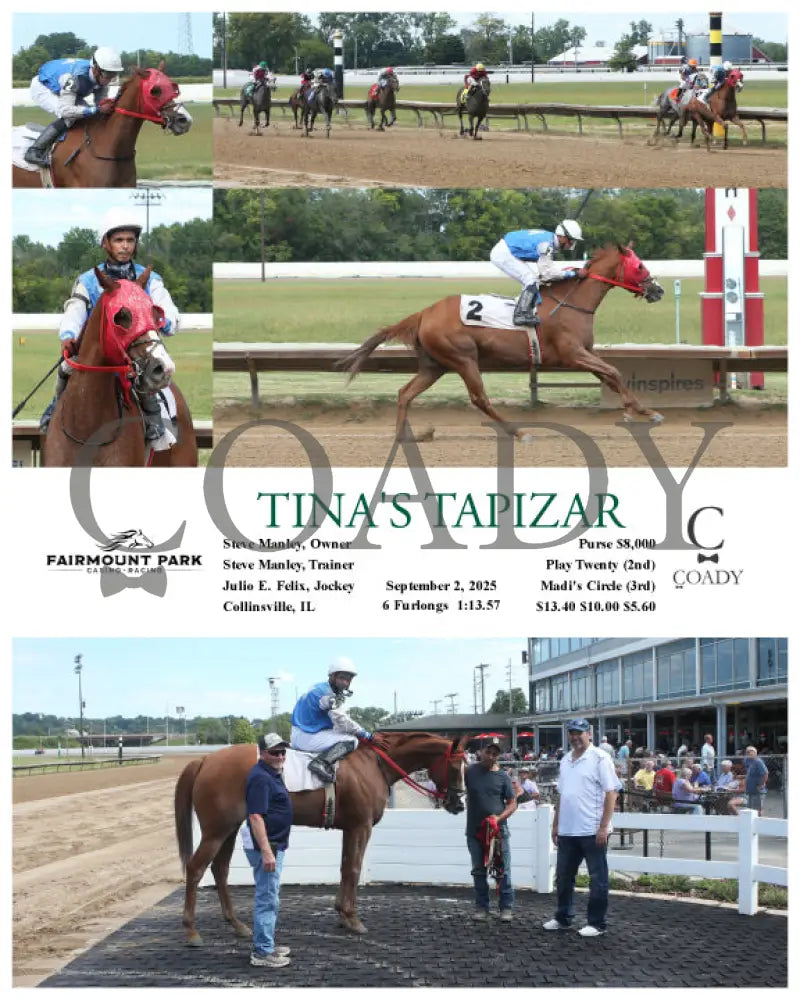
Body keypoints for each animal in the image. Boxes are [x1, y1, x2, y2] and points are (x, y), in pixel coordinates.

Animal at [174, 732, 467, 944]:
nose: (459, 804)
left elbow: (345, 867)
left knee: (220, 869)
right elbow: (354, 868)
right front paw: (353, 918)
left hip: (230, 829)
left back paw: (237, 924)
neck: (374, 764)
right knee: (196, 868)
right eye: (455, 767)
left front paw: (342, 914)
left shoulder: (350, 828)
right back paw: (191, 930)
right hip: (217, 830)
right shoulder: (362, 827)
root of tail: (205, 760)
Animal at [337, 243, 666, 442]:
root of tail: (424, 313)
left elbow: (611, 376)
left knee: (405, 393)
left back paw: (403, 436)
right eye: (639, 266)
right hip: (463, 359)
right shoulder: (572, 354)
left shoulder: (585, 352)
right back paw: (518, 432)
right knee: (479, 398)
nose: (658, 290)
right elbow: (613, 372)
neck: (572, 303)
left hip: (435, 365)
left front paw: (644, 411)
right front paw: (640, 411)